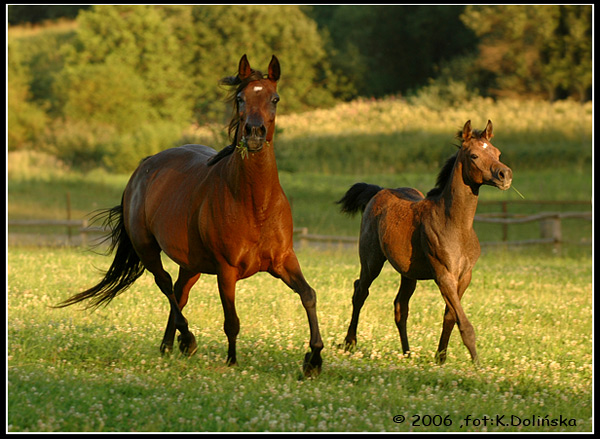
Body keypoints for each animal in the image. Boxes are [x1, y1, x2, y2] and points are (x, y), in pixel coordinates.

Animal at [58, 54, 324, 378]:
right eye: (240, 98)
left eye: (275, 98)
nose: (254, 134)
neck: (255, 203)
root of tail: (145, 165)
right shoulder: (226, 270)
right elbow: (231, 320)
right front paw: (232, 361)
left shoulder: (284, 260)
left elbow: (308, 295)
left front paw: (314, 359)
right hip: (148, 249)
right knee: (165, 285)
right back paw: (187, 340)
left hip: (192, 263)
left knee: (179, 292)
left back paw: (167, 346)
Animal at [338, 120, 510, 364]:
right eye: (474, 155)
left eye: (497, 152)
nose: (505, 175)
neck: (456, 226)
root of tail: (379, 191)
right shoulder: (443, 275)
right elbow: (464, 323)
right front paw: (477, 364)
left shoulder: (464, 277)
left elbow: (451, 316)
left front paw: (441, 358)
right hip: (371, 262)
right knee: (360, 292)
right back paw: (349, 343)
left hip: (408, 274)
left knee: (400, 306)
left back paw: (407, 353)